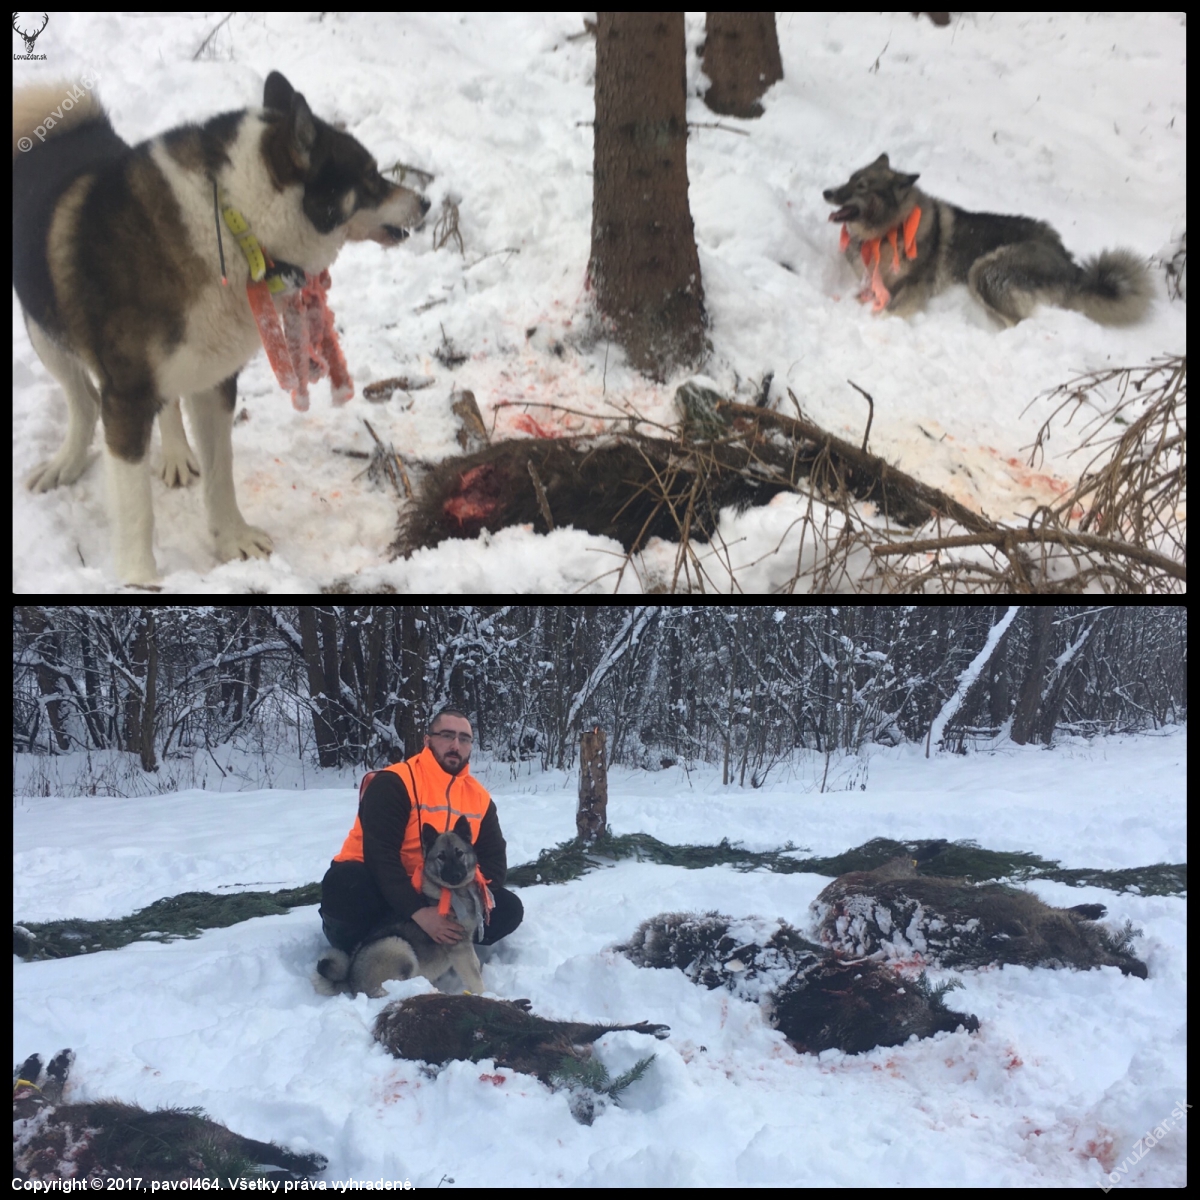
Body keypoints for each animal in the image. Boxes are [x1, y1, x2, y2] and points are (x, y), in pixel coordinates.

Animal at [319, 816, 492, 1003]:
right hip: (398, 946)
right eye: (441, 857)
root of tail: (350, 981)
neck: (454, 891)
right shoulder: (459, 947)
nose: (455, 875)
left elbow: (475, 966)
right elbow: (474, 977)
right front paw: (486, 996)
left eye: (459, 853)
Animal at [825, 153, 1152, 328]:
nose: (826, 192)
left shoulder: (915, 288)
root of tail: (1070, 264)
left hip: (984, 270)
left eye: (862, 186)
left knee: (1018, 322)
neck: (887, 230)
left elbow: (888, 311)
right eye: (850, 178)